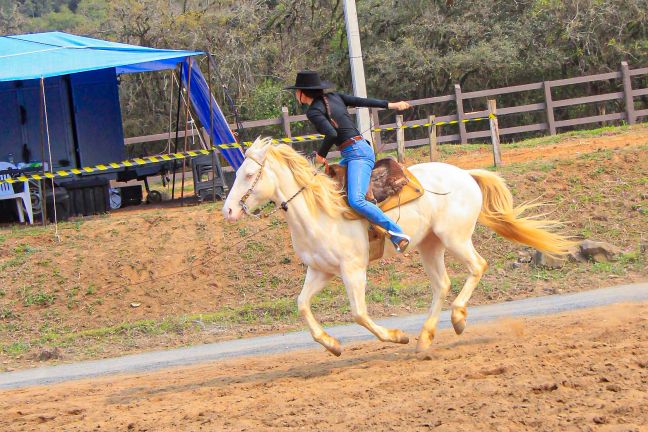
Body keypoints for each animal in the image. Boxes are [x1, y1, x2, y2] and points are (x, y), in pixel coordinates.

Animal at [223, 138, 572, 354]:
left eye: (250, 174)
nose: (227, 210)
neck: (319, 210)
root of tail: (466, 175)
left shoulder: (353, 270)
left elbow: (359, 313)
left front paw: (396, 336)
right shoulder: (321, 271)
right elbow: (302, 305)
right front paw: (332, 345)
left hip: (455, 238)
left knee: (477, 267)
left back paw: (457, 320)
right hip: (430, 245)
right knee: (442, 284)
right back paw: (425, 337)